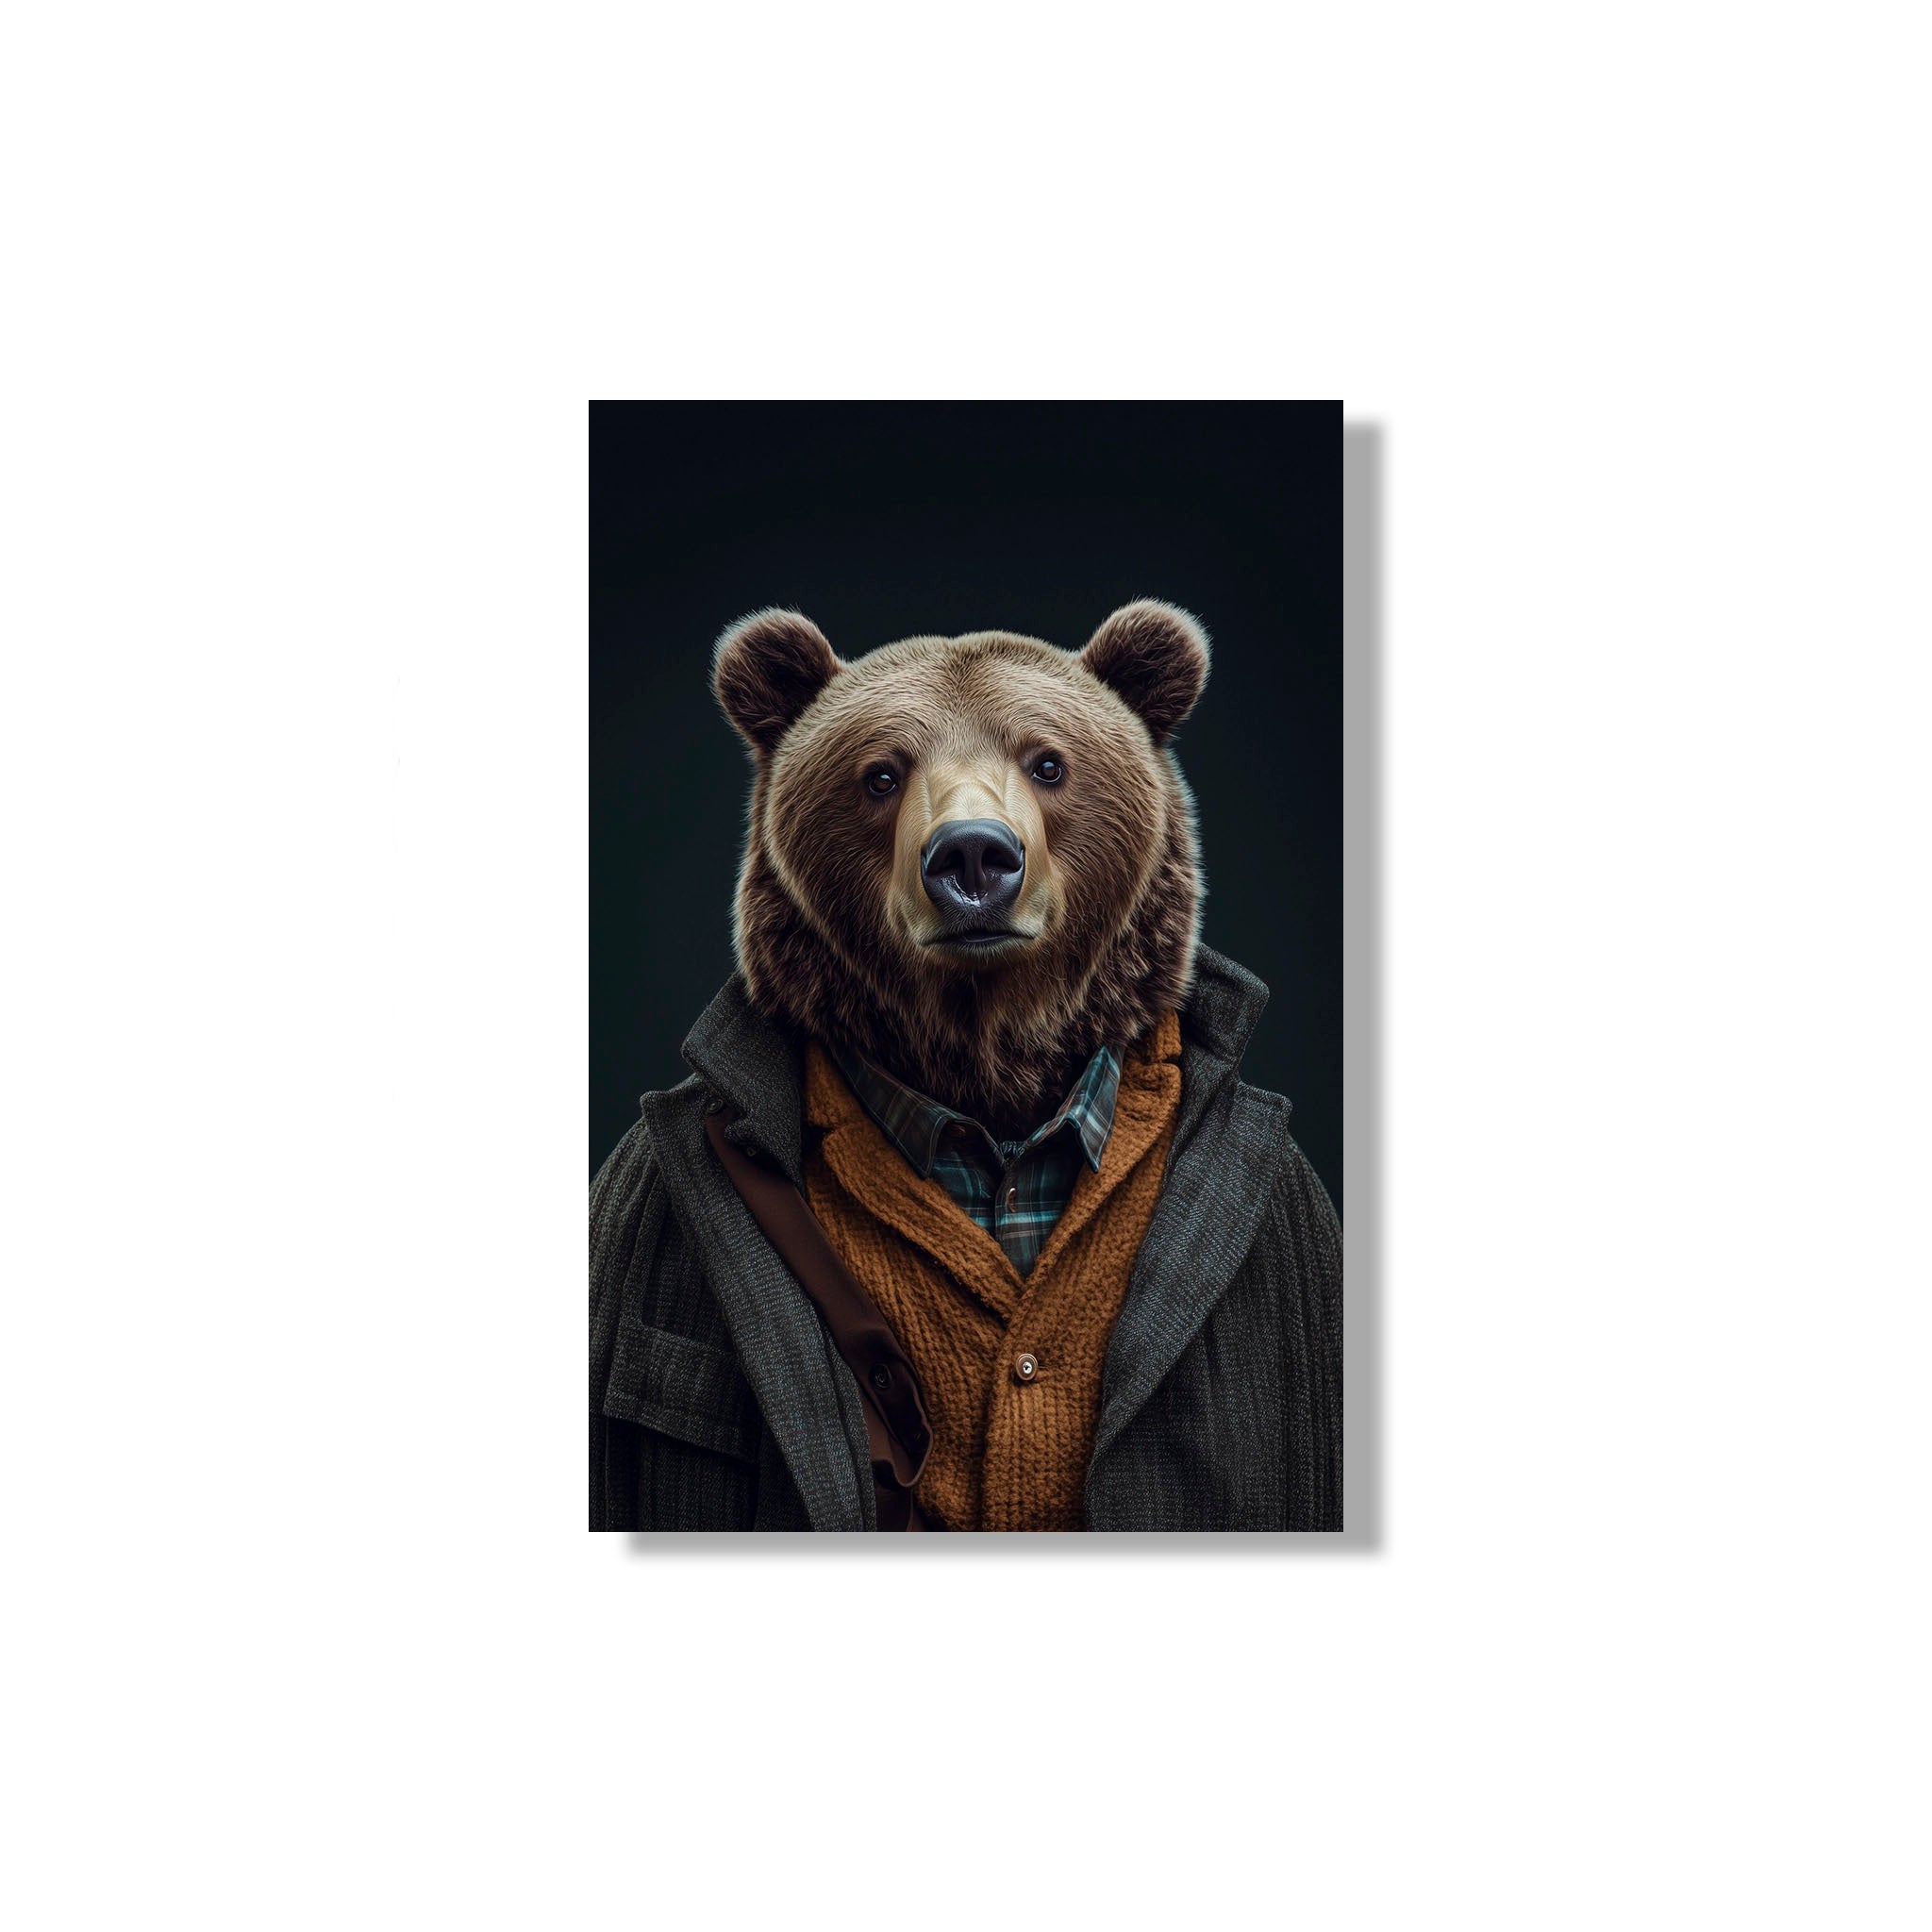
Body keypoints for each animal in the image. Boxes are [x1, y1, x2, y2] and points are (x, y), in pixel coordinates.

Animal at [590, 602, 1342, 1533]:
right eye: (880, 774)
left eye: (1048, 761)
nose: (975, 857)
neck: (988, 1066)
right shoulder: (638, 1198)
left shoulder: (1291, 1225)